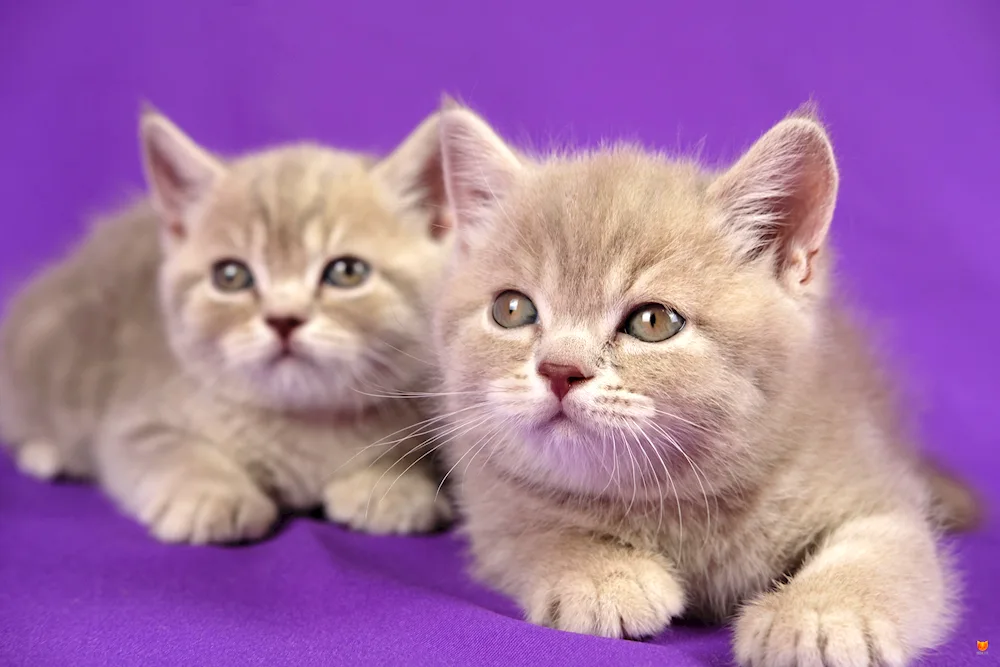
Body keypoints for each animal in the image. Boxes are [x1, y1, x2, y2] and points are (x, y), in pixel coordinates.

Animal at [0, 105, 454, 544]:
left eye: (346, 272)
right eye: (231, 276)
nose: (283, 319)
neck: (303, 424)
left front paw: (393, 485)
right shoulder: (135, 423)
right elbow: (174, 450)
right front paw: (213, 494)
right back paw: (47, 453)